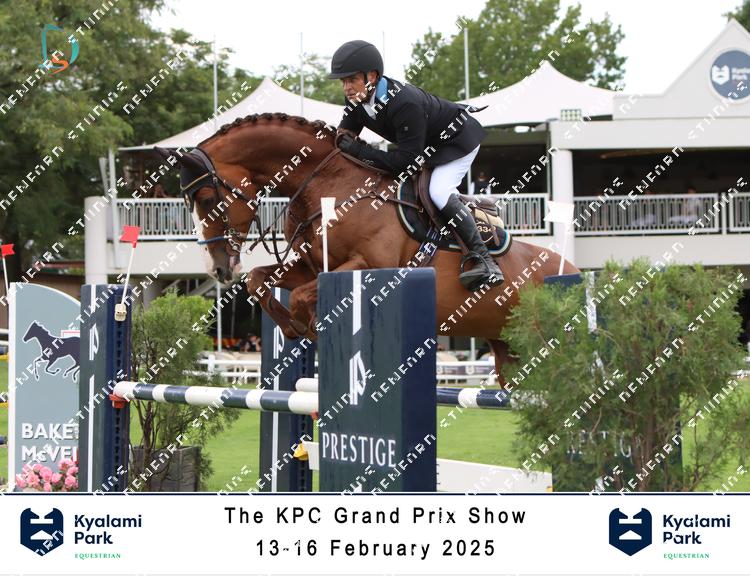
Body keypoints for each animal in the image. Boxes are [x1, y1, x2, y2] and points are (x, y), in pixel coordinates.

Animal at [155, 112, 579, 381]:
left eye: (206, 199)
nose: (218, 269)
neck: (329, 184)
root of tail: (572, 271)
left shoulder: (371, 265)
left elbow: (304, 297)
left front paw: (309, 329)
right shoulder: (310, 265)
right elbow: (260, 280)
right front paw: (292, 330)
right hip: (509, 352)